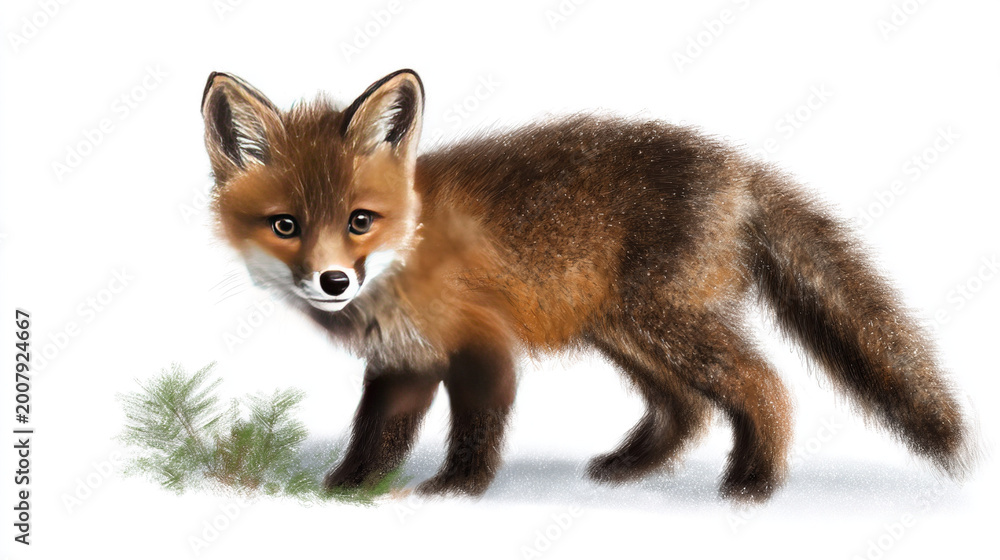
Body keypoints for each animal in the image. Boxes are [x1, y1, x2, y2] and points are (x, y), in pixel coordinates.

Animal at [200, 68, 970, 502]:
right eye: (287, 225)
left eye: (360, 221)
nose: (332, 281)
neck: (407, 250)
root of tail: (739, 166)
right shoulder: (405, 360)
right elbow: (375, 436)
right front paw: (344, 491)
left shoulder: (482, 346)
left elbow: (474, 431)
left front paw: (454, 492)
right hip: (623, 329)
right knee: (687, 408)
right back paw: (629, 469)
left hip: (662, 323)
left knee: (764, 385)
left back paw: (752, 486)